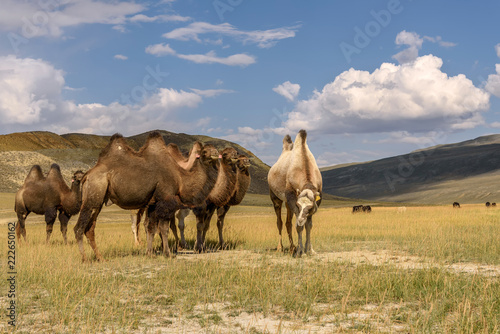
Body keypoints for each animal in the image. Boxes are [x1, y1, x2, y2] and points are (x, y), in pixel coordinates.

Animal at [73, 132, 219, 262]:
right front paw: (168, 254)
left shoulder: (153, 203)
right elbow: (164, 228)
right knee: (79, 228)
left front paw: (150, 253)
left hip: (97, 200)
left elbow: (151, 228)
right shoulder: (165, 199)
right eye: (204, 151)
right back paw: (85, 259)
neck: (180, 178)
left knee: (90, 229)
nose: (216, 154)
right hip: (93, 193)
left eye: (215, 148)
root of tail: (87, 175)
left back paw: (101, 258)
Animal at [268, 129, 322, 258]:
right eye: (298, 205)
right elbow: (299, 227)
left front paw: (310, 250)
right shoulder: (292, 197)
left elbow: (309, 225)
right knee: (280, 221)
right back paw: (281, 248)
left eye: (310, 207)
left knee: (288, 223)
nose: (301, 219)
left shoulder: (316, 199)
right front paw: (300, 252)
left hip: (287, 203)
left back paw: (292, 248)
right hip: (275, 197)